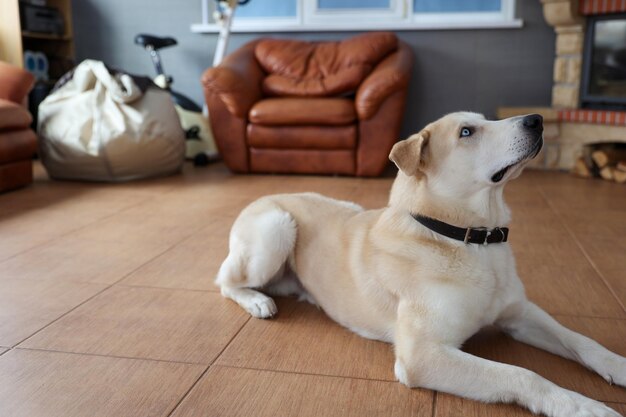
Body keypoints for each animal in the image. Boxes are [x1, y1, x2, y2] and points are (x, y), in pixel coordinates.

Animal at [216, 111, 624, 416]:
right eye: (466, 132)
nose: (537, 120)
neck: (469, 241)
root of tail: (271, 192)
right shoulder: (422, 357)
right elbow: (523, 374)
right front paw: (581, 405)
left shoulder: (519, 315)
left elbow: (580, 340)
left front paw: (618, 365)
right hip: (275, 228)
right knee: (225, 280)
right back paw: (257, 301)